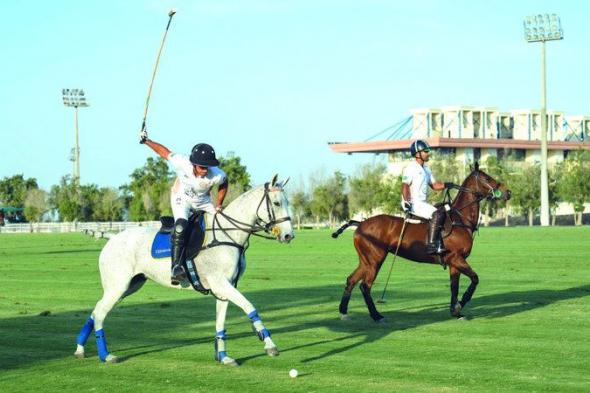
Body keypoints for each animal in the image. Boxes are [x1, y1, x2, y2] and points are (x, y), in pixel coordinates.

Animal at [74, 175, 296, 364]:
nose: (288, 236)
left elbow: (220, 323)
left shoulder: (224, 288)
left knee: (96, 310)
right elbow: (250, 307)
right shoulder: (221, 284)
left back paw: (80, 349)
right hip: (118, 286)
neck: (227, 234)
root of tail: (111, 238)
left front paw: (223, 356)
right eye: (277, 203)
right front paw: (269, 345)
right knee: (100, 313)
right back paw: (105, 355)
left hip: (129, 286)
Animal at [332, 164, 512, 320]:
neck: (461, 219)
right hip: (375, 259)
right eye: (487, 178)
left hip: (366, 260)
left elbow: (454, 286)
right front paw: (460, 305)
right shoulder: (456, 258)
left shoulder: (454, 263)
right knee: (365, 286)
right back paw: (376, 316)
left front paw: (455, 311)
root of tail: (360, 224)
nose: (508, 192)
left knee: (351, 280)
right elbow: (475, 279)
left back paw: (344, 312)